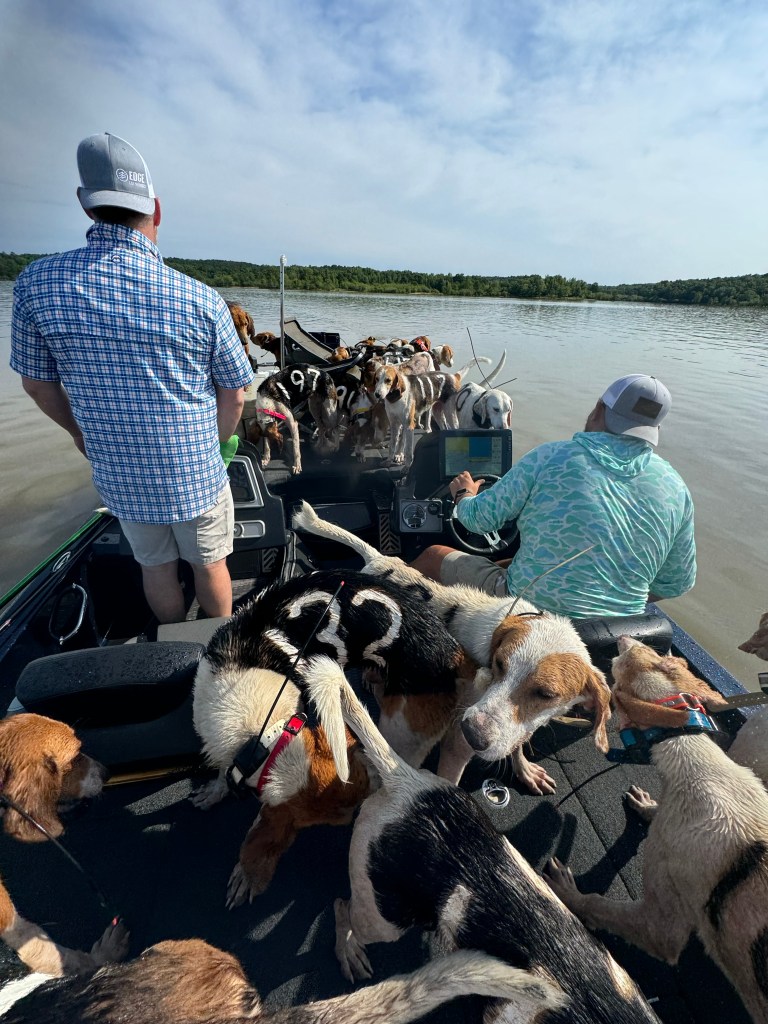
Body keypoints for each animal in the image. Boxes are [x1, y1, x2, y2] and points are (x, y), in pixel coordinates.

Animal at [192, 577, 475, 905]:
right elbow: (222, 775)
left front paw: (247, 873)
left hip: (400, 731)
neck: (263, 732)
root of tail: (455, 652)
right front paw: (215, 791)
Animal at [290, 499, 610, 794]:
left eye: (546, 695)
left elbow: (517, 742)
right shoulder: (456, 746)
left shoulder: (515, 727)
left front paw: (524, 769)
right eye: (499, 664)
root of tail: (379, 558)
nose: (473, 733)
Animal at [544, 630, 768, 1024]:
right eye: (656, 654)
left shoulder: (661, 922)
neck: (697, 762)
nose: (623, 636)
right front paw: (648, 806)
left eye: (618, 666)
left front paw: (567, 892)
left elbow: (601, 906)